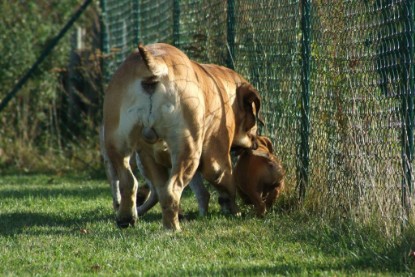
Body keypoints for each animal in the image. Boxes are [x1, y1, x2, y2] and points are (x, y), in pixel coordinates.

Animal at [102, 42, 262, 229]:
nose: (256, 143)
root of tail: (154, 65)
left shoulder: (150, 157)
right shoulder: (217, 161)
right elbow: (228, 185)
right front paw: (234, 210)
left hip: (117, 145)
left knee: (130, 183)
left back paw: (126, 218)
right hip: (188, 151)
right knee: (172, 190)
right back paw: (172, 228)